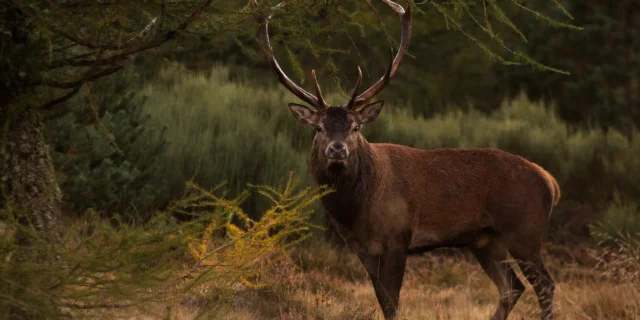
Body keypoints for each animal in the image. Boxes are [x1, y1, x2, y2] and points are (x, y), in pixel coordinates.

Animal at [252, 1, 556, 318]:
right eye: (318, 128)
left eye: (356, 127)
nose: (337, 150)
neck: (357, 211)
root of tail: (549, 181)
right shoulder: (362, 248)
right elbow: (382, 299)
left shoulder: (398, 237)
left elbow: (392, 301)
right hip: (485, 239)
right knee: (512, 286)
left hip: (525, 230)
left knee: (544, 284)